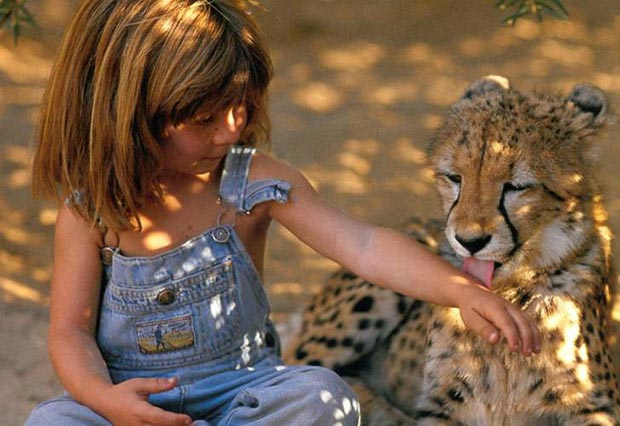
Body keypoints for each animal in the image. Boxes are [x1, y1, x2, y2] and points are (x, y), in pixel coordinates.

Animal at [286, 77, 620, 426]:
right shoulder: (442, 404)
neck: (509, 295)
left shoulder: (594, 405)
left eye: (517, 186)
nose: (469, 240)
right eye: (454, 178)